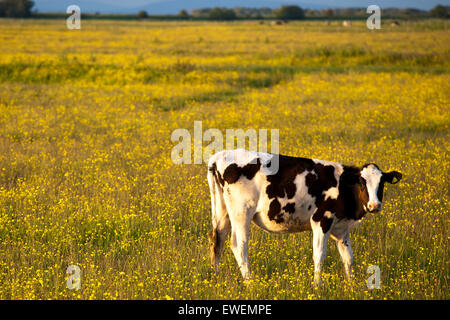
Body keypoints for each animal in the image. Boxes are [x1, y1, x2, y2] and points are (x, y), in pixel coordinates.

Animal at [206, 149, 402, 284]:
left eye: (381, 183)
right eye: (362, 182)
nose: (374, 205)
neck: (343, 187)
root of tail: (220, 156)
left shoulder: (342, 229)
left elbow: (348, 258)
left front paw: (351, 285)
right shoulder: (321, 221)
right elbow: (319, 255)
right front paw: (317, 286)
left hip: (222, 212)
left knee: (217, 242)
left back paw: (215, 277)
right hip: (241, 213)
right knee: (239, 246)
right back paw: (250, 283)